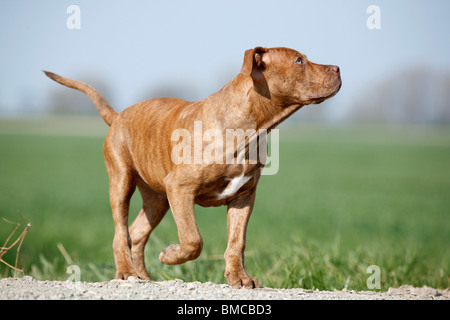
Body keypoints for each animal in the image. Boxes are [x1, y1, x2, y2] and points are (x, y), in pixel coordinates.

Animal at [44, 46, 342, 288]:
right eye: (299, 60)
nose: (338, 68)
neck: (250, 127)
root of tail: (118, 116)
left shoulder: (244, 196)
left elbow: (237, 242)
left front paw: (239, 278)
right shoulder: (180, 187)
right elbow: (193, 239)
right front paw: (170, 255)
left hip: (156, 198)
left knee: (136, 234)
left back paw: (144, 278)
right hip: (121, 180)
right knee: (121, 232)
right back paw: (127, 273)